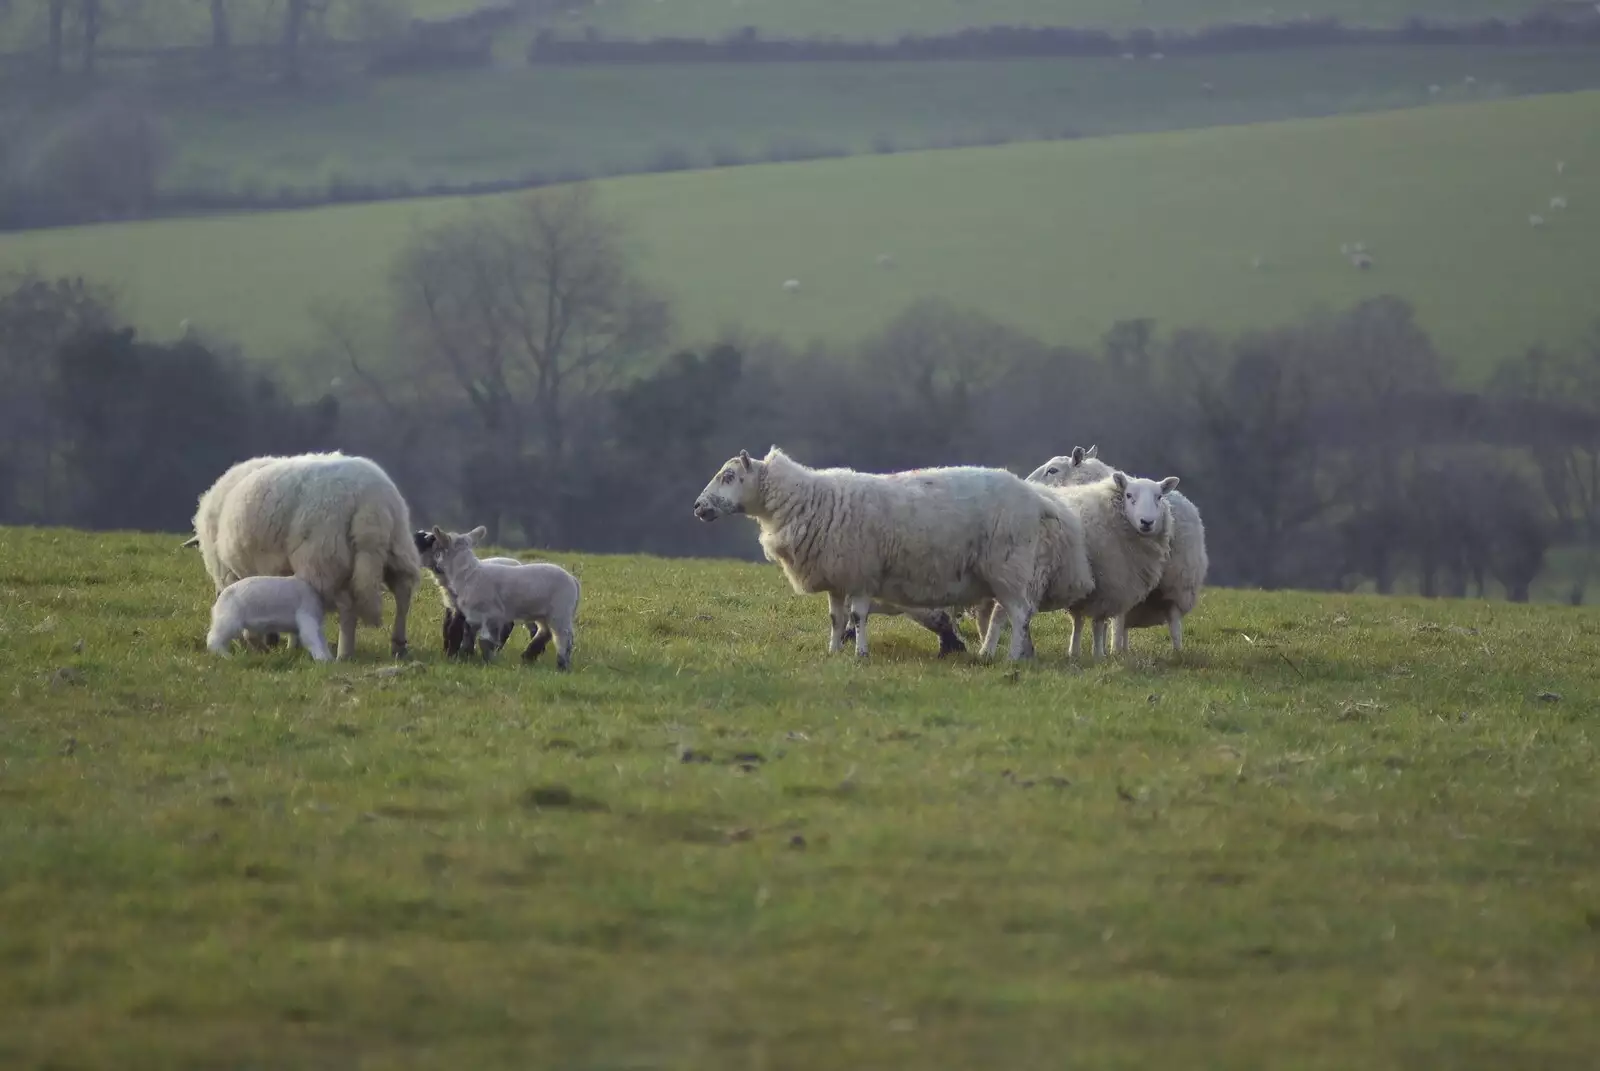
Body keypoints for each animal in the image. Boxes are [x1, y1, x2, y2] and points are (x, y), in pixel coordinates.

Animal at [186, 451, 422, 659]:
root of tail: (371, 504)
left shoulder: (229, 573)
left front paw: (262, 643)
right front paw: (285, 642)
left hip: (325, 556)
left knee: (347, 607)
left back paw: (344, 653)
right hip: (398, 548)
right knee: (403, 593)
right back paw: (398, 646)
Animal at [428, 525, 579, 669]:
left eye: (439, 549)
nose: (436, 565)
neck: (469, 574)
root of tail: (573, 579)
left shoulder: (493, 614)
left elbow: (487, 640)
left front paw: (488, 661)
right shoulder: (473, 616)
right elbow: (469, 636)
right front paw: (467, 656)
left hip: (560, 611)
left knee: (563, 637)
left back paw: (562, 665)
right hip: (543, 612)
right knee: (545, 631)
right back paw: (528, 655)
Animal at [691, 445, 1075, 659]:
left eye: (728, 476)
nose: (698, 507)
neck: (807, 500)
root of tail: (1037, 499)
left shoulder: (862, 573)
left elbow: (858, 617)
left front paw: (860, 653)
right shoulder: (838, 577)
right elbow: (836, 618)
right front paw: (833, 651)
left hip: (1010, 568)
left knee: (1020, 614)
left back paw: (1012, 658)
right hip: (1001, 574)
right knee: (1003, 615)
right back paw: (991, 654)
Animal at [1030, 441, 1203, 653]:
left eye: (1052, 470)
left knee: (1130, 619)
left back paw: (1117, 649)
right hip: (1176, 579)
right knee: (1172, 618)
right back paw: (1171, 650)